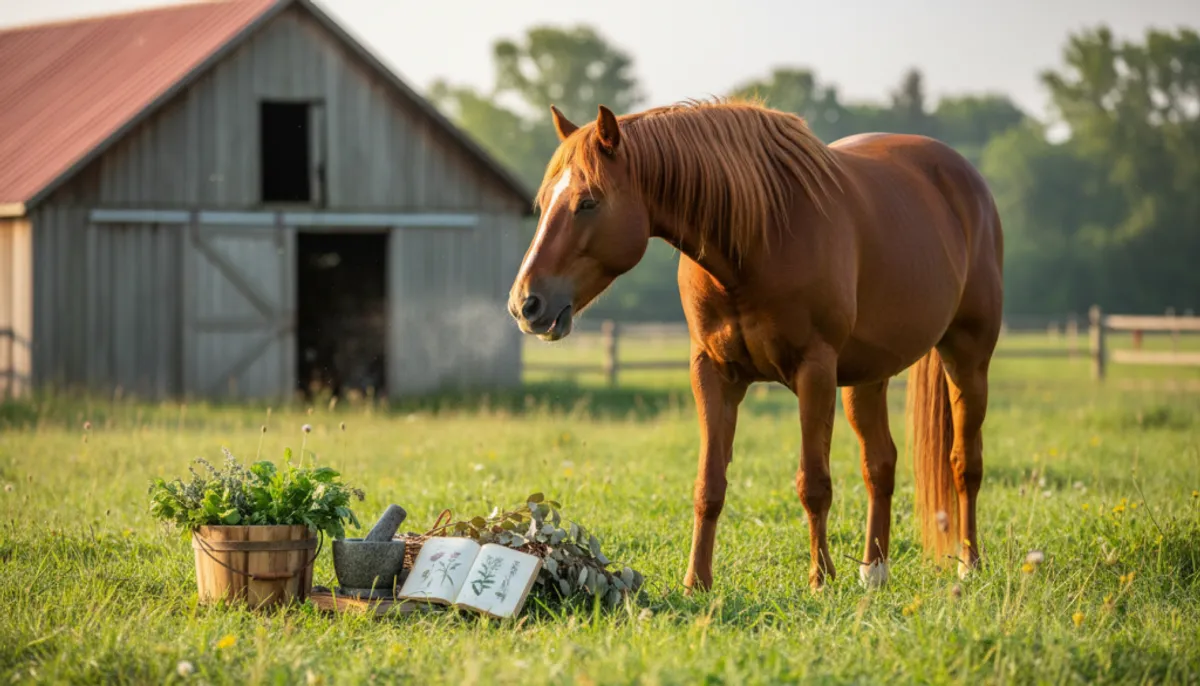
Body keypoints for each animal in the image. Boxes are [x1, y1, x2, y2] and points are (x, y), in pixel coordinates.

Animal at [506, 98, 1003, 592]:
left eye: (588, 202)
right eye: (545, 202)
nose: (525, 303)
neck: (759, 239)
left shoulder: (815, 371)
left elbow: (814, 484)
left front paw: (820, 580)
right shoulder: (713, 374)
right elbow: (709, 485)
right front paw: (696, 582)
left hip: (967, 358)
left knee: (965, 464)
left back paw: (968, 563)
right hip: (867, 377)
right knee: (880, 464)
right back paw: (874, 572)